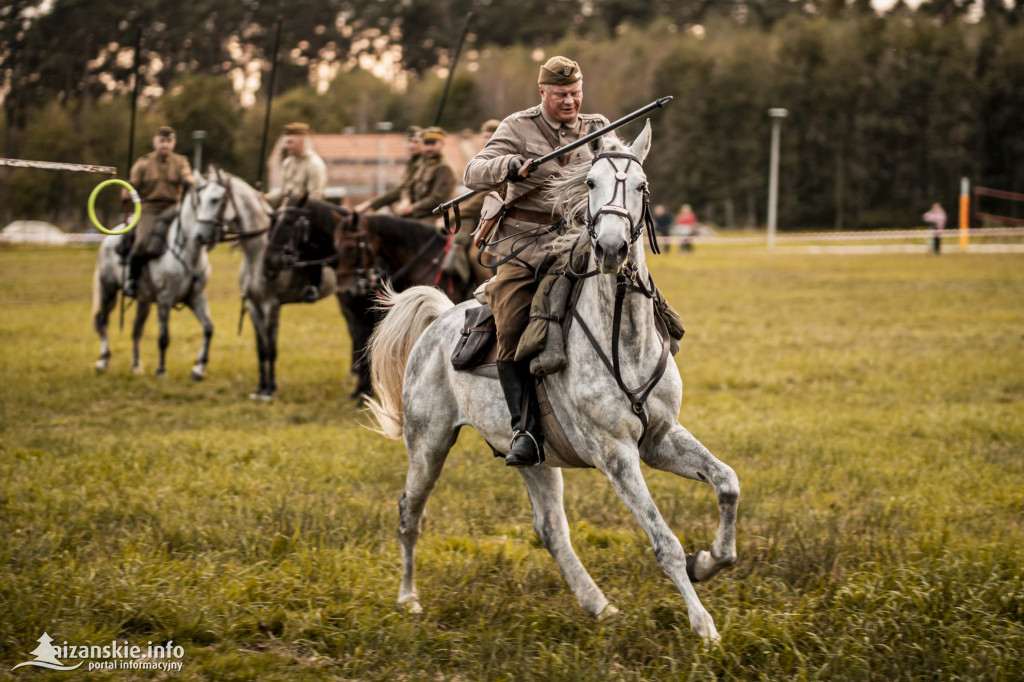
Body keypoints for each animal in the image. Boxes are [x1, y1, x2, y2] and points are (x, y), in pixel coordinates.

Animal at [92, 175, 220, 376]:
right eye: (211, 200)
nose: (206, 235)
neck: (187, 252)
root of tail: (109, 239)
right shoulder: (164, 299)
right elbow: (164, 337)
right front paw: (161, 370)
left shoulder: (195, 297)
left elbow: (208, 328)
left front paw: (199, 368)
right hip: (108, 290)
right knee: (102, 321)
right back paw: (103, 361)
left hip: (143, 301)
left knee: (136, 330)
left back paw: (136, 365)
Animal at [366, 123, 737, 643]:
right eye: (591, 183)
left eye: (641, 186)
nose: (610, 249)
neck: (624, 337)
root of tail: (440, 319)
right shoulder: (616, 454)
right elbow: (663, 540)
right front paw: (704, 626)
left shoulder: (661, 439)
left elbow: (727, 482)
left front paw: (708, 561)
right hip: (428, 445)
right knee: (409, 514)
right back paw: (408, 599)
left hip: (532, 456)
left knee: (550, 529)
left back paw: (599, 605)